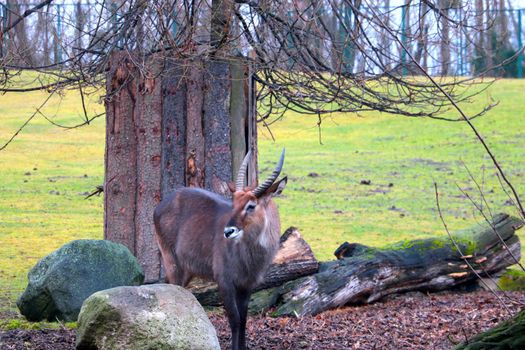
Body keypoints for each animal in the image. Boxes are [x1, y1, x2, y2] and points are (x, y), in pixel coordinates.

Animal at [154, 148, 286, 350]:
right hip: (171, 261)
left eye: (251, 205)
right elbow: (234, 319)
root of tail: (161, 205)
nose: (228, 231)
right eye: (234, 202)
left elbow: (244, 319)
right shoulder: (224, 281)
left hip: (187, 270)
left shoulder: (247, 285)